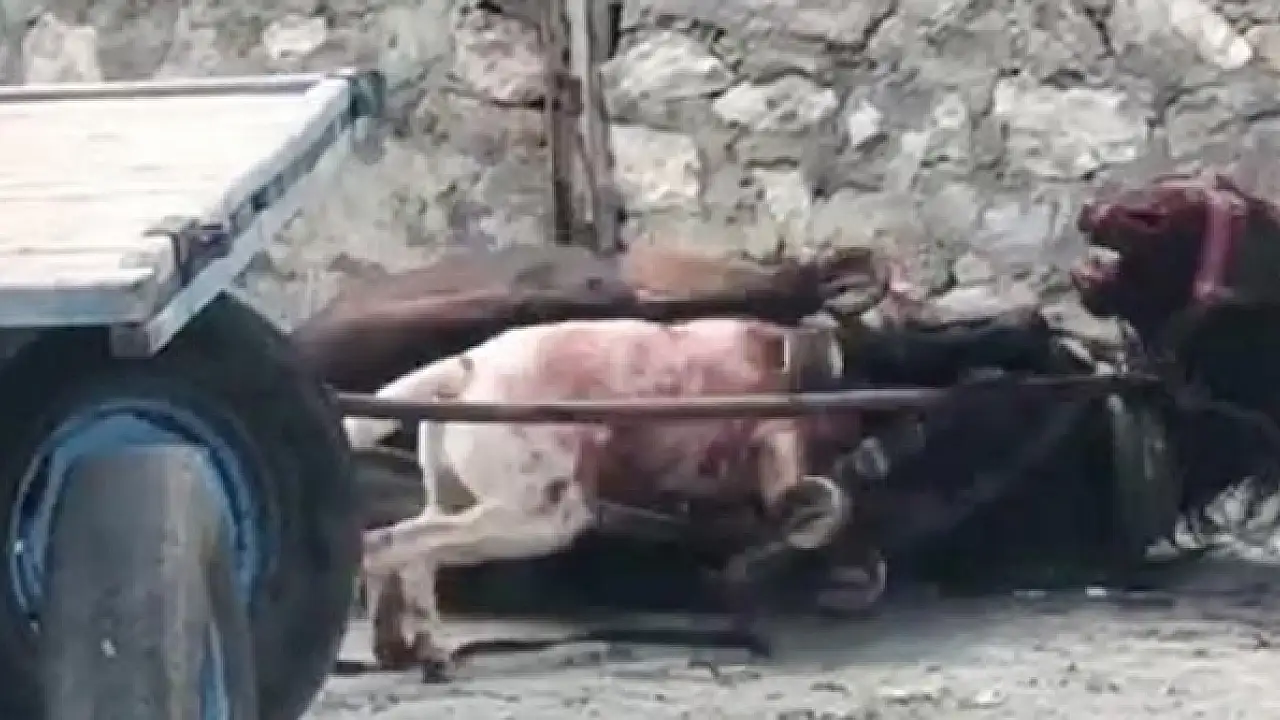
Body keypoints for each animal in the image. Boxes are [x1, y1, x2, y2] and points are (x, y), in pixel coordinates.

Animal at [342, 316, 887, 679]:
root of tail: (465, 369)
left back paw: (403, 650)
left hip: (460, 498)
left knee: (411, 547)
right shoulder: (771, 431)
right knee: (397, 544)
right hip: (543, 513)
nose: (870, 450)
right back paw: (426, 650)